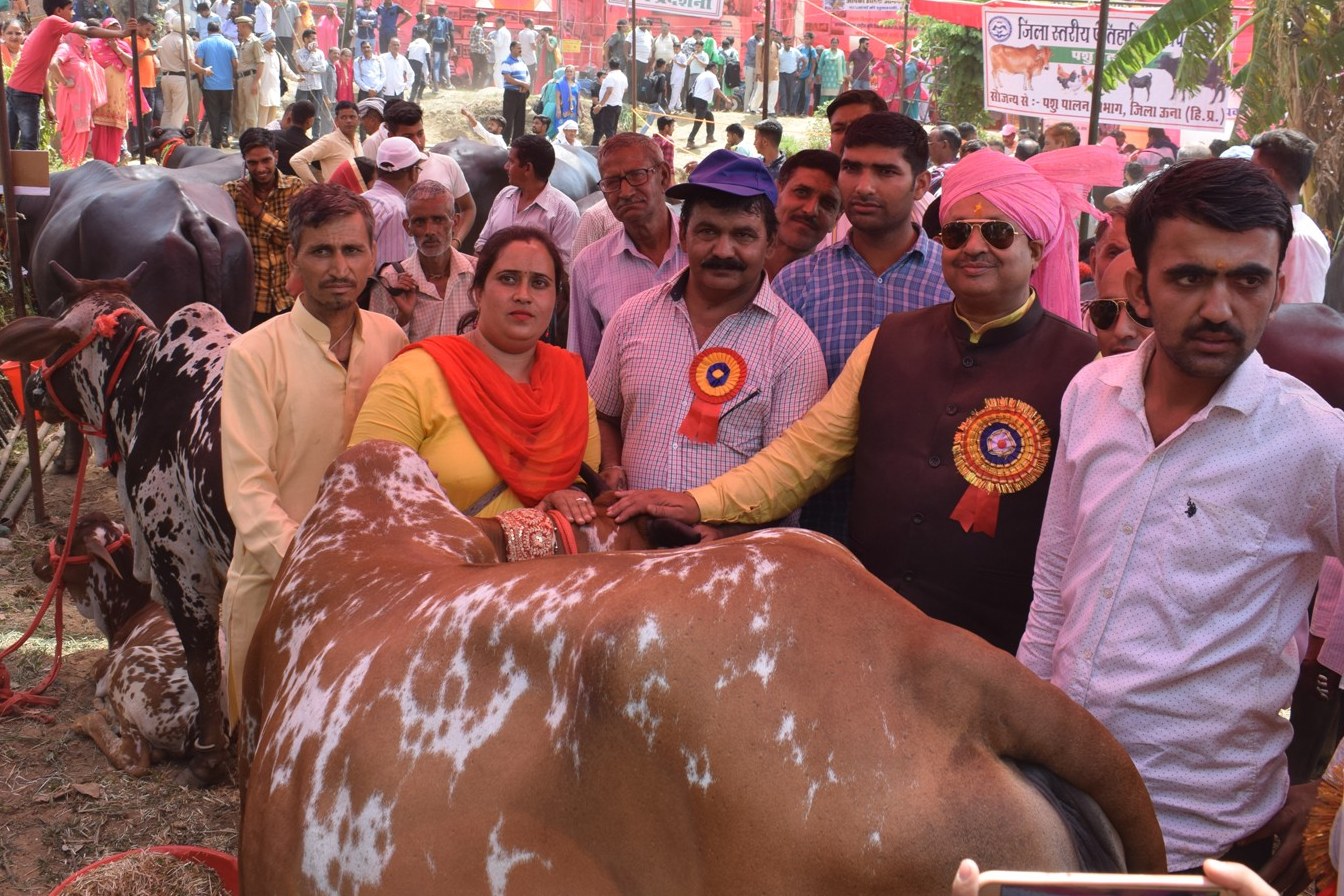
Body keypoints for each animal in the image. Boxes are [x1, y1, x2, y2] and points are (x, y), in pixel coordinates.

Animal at [34, 515, 197, 773]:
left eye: (62, 538)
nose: (34, 562)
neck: (136, 605)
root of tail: (192, 718)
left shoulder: (106, 666)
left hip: (128, 670)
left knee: (132, 758)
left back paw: (90, 720)